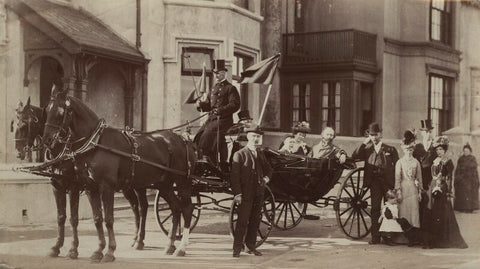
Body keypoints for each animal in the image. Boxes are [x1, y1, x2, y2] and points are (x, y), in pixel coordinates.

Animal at [14, 94, 150, 260]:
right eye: (15, 123)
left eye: (25, 124)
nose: (19, 151)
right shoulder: (57, 185)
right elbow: (61, 217)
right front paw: (56, 247)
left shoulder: (74, 186)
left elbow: (74, 218)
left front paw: (73, 249)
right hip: (127, 186)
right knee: (135, 207)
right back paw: (136, 239)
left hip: (140, 185)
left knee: (143, 207)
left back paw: (140, 240)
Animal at [42, 88, 196, 262]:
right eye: (46, 110)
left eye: (60, 112)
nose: (47, 140)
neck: (95, 142)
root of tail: (183, 138)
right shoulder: (88, 187)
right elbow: (96, 218)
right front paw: (97, 250)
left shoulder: (104, 187)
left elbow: (108, 219)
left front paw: (109, 251)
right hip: (163, 184)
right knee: (174, 208)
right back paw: (169, 245)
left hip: (182, 182)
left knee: (187, 209)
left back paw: (181, 247)